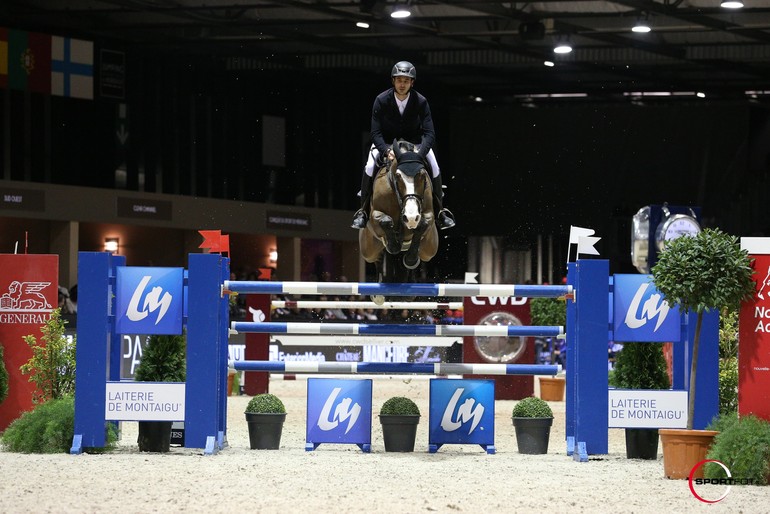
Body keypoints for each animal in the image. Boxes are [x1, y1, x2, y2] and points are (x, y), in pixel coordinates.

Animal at [356, 138, 436, 286]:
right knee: (378, 260)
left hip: (429, 249)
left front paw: (411, 259)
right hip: (369, 250)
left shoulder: (428, 215)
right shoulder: (375, 214)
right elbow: (385, 220)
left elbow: (423, 223)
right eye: (398, 176)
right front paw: (393, 246)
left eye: (422, 176)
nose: (411, 217)